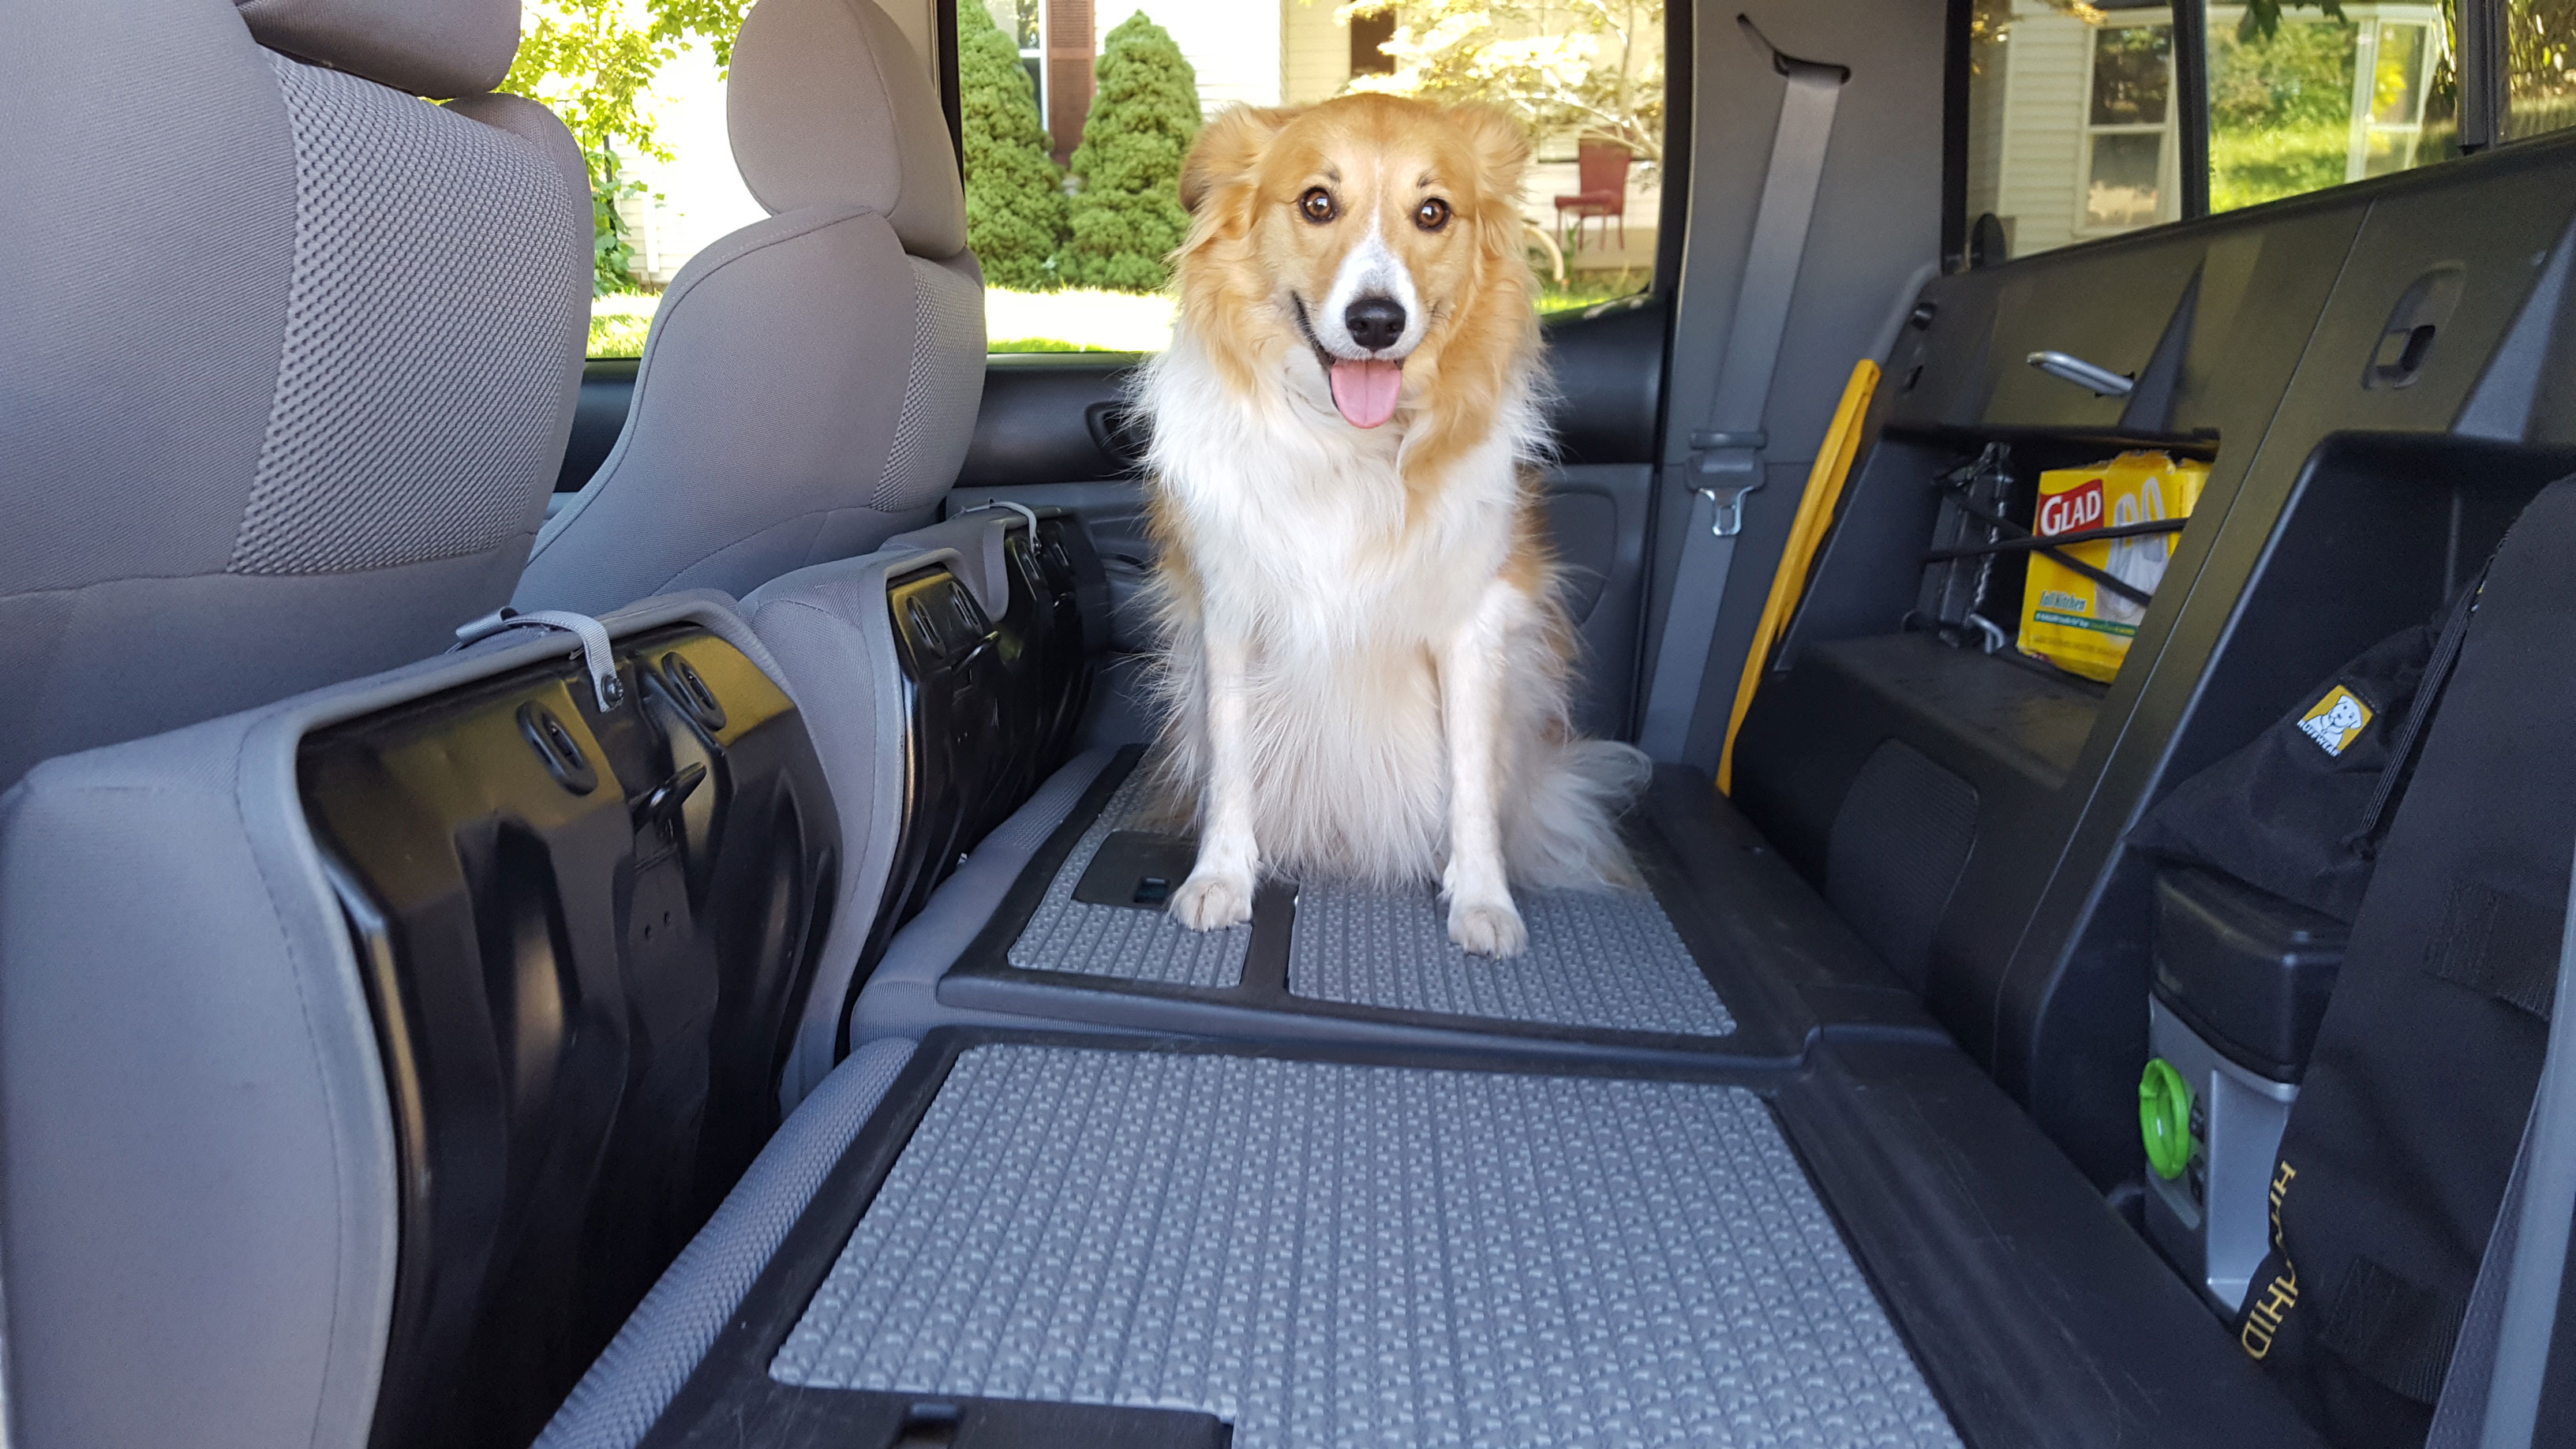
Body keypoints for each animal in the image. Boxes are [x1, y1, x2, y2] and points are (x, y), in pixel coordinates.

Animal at [1138, 88, 1638, 949]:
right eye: (1317, 202)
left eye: (1432, 212)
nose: (1376, 321)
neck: (1348, 449)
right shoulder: (1229, 614)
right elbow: (1234, 763)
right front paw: (1222, 877)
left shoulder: (1473, 624)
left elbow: (1470, 779)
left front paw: (1482, 899)